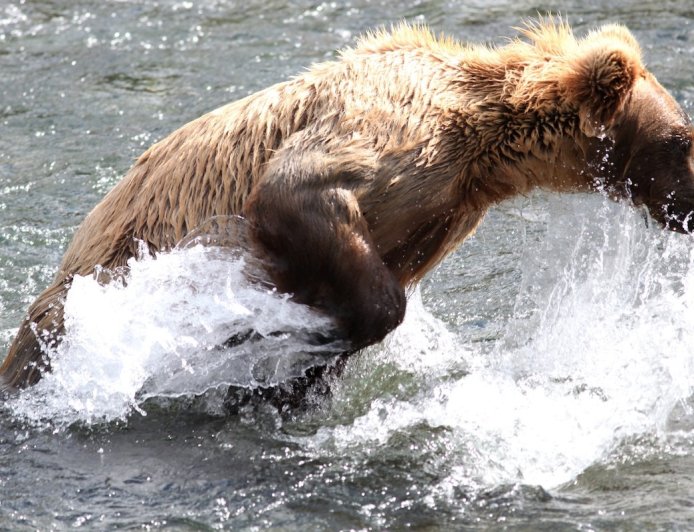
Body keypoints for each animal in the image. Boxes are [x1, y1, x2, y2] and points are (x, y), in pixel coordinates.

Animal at [2, 19, 694, 397]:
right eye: (683, 139)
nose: (691, 204)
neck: (483, 144)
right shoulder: (395, 134)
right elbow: (297, 192)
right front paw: (286, 338)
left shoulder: (440, 214)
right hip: (84, 291)